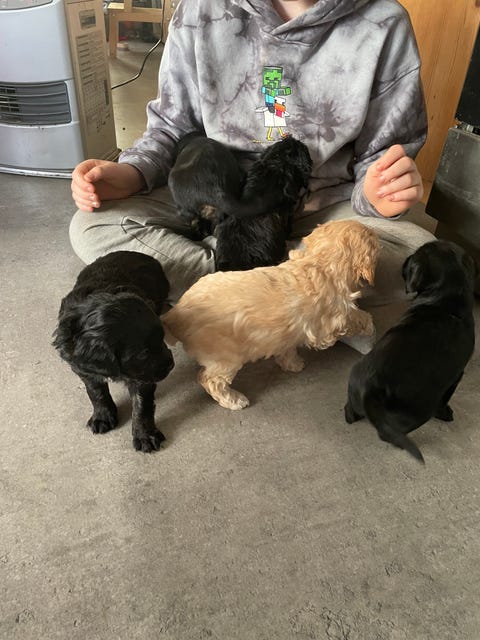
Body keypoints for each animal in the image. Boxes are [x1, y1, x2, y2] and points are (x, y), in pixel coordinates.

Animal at [53, 251, 174, 452]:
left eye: (162, 338)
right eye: (143, 353)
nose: (171, 365)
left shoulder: (142, 377)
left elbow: (142, 405)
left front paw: (145, 436)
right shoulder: (82, 367)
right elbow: (96, 392)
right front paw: (102, 416)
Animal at [162, 220, 379, 410]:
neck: (320, 262)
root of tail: (175, 314)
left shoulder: (287, 333)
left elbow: (287, 348)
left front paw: (292, 363)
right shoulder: (332, 320)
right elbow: (353, 316)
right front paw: (369, 324)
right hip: (226, 357)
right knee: (210, 380)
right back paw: (234, 400)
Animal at [344, 240, 476, 463]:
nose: (405, 261)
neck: (447, 299)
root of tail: (373, 385)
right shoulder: (456, 375)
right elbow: (446, 398)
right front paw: (445, 413)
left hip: (355, 385)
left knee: (351, 411)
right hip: (417, 412)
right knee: (388, 433)